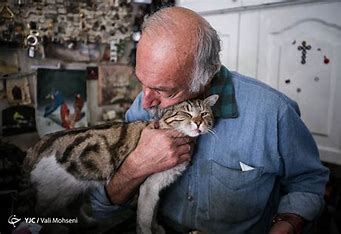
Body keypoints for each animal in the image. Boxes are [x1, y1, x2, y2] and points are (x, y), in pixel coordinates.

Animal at [19, 94, 218, 233]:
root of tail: (40, 143)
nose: (198, 123)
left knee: (74, 207)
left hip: (78, 184)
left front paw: (156, 228)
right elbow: (144, 218)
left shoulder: (157, 187)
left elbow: (153, 213)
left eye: (204, 113)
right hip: (55, 193)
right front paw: (148, 231)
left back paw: (86, 222)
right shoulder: (149, 187)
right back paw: (57, 228)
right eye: (186, 113)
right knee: (41, 214)